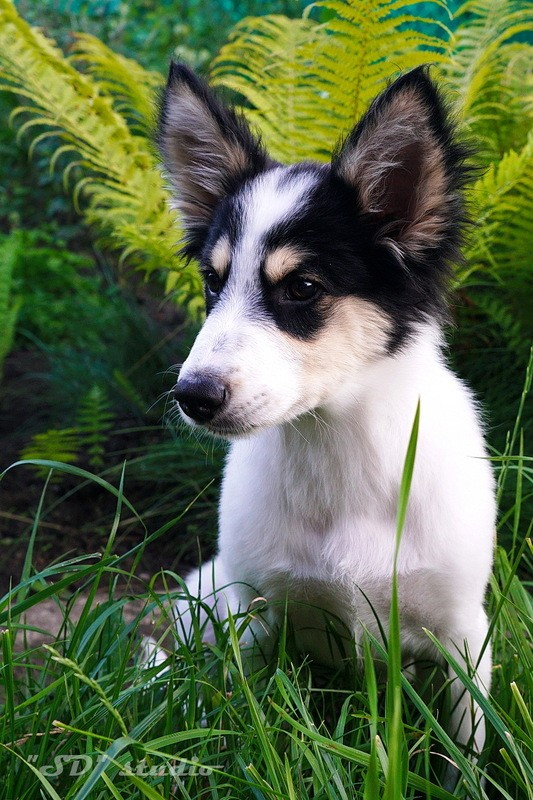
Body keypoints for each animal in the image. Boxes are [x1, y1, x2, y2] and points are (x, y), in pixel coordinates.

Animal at [157, 62, 494, 764]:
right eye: (212, 282)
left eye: (303, 288)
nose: (192, 396)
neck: (335, 448)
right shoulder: (250, 616)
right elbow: (241, 729)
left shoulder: (463, 637)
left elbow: (467, 756)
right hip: (205, 594)